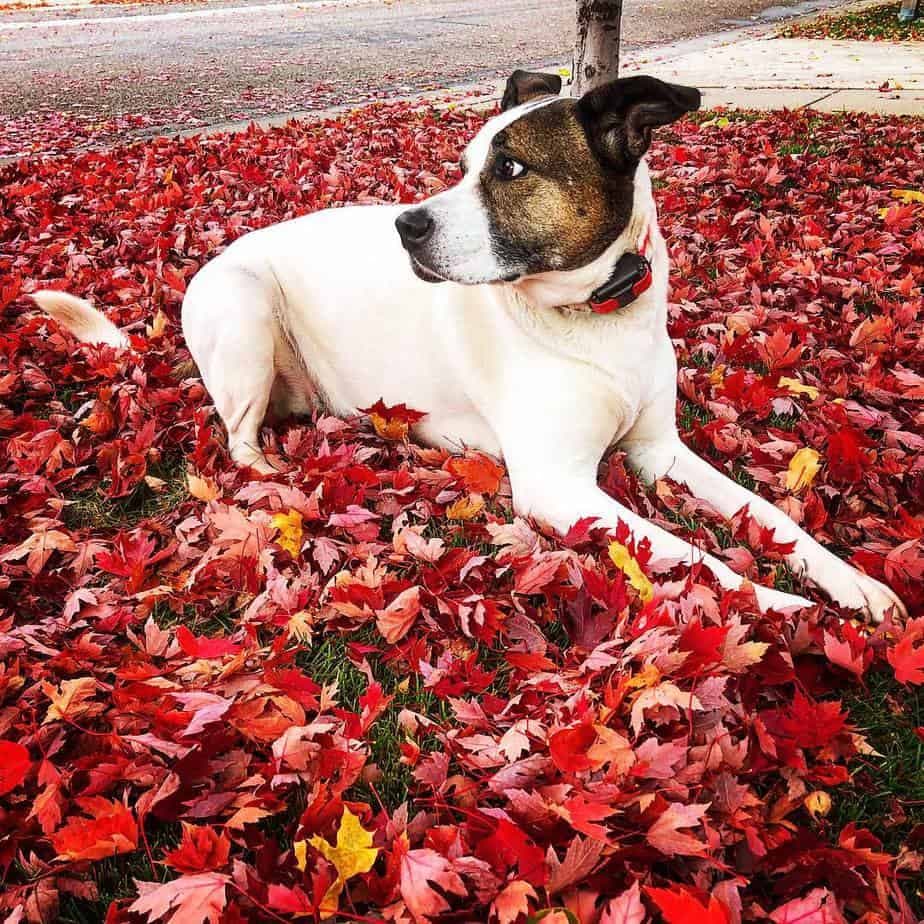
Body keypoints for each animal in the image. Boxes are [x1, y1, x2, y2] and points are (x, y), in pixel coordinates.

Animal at [32, 70, 904, 620]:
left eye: (510, 168)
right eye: (460, 166)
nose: (405, 226)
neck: (596, 316)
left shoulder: (660, 451)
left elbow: (773, 518)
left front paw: (852, 587)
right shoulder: (559, 487)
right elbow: (696, 556)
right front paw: (782, 604)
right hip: (245, 308)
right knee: (238, 443)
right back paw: (283, 473)